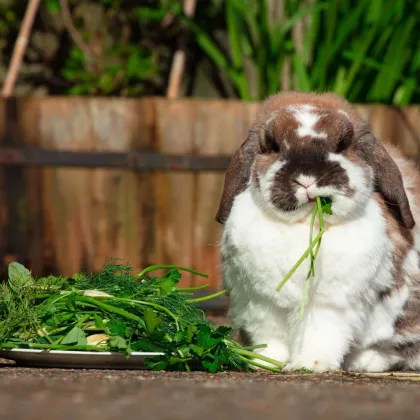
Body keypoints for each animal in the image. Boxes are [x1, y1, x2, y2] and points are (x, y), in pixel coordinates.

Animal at [218, 90, 420, 372]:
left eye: (342, 144)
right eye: (274, 145)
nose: (306, 178)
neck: (305, 226)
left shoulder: (328, 306)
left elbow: (320, 335)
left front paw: (310, 365)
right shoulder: (262, 304)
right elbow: (270, 337)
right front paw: (265, 362)